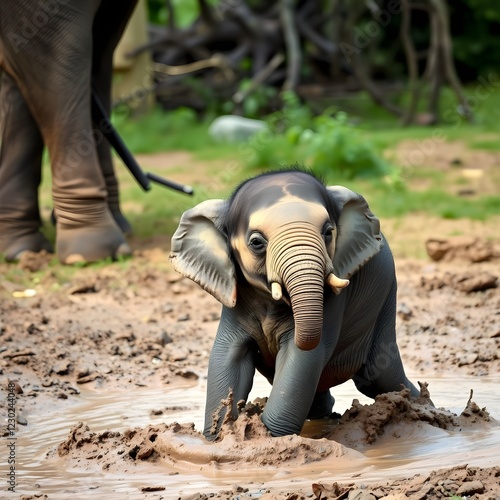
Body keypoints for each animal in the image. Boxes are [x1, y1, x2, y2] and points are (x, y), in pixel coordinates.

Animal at [169, 169, 418, 438]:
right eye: (256, 242)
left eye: (328, 232)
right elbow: (227, 356)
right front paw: (217, 437)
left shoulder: (333, 299)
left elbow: (301, 359)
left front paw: (267, 438)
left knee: (380, 378)